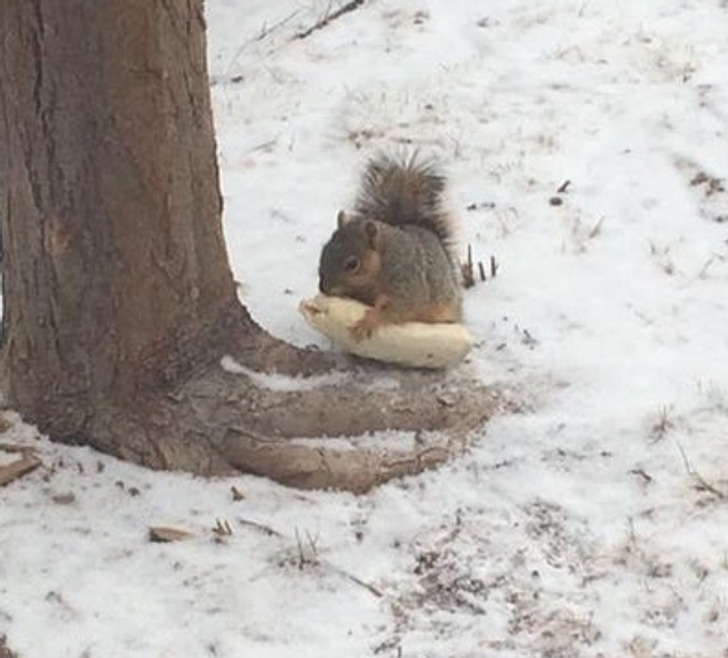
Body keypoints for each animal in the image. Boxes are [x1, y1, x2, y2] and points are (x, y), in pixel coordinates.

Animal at [318, 152, 460, 340]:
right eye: (323, 251)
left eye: (352, 264)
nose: (324, 288)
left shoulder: (408, 283)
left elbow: (402, 307)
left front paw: (370, 320)